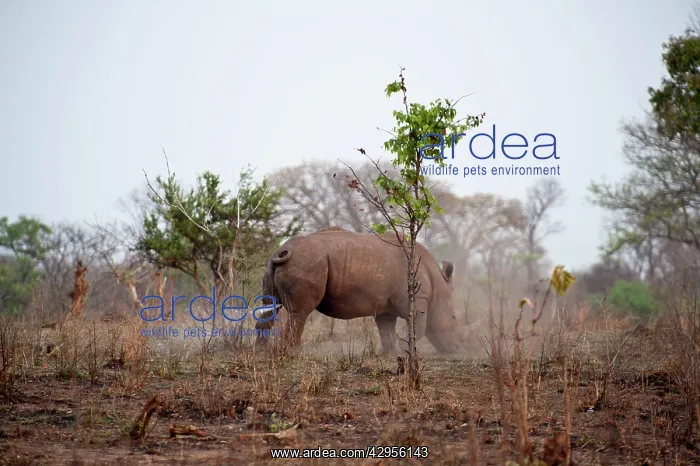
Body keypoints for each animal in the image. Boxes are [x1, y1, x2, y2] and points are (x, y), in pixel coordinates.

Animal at [256, 227, 460, 355]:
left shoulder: (385, 306)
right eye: (454, 319)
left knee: (269, 308)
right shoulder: (417, 298)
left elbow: (386, 330)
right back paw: (294, 353)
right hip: (307, 262)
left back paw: (261, 351)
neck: (437, 282)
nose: (455, 348)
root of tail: (283, 250)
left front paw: (388, 354)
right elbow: (418, 327)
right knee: (300, 313)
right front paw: (406, 349)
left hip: (275, 264)